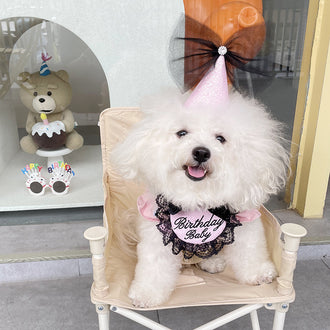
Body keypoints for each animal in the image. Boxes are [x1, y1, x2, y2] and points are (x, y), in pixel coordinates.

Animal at [111, 89, 288, 306]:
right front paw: (147, 294)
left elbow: (250, 251)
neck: (197, 195)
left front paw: (259, 272)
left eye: (220, 138)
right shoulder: (156, 238)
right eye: (182, 133)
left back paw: (214, 261)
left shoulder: (246, 225)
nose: (202, 152)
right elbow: (154, 267)